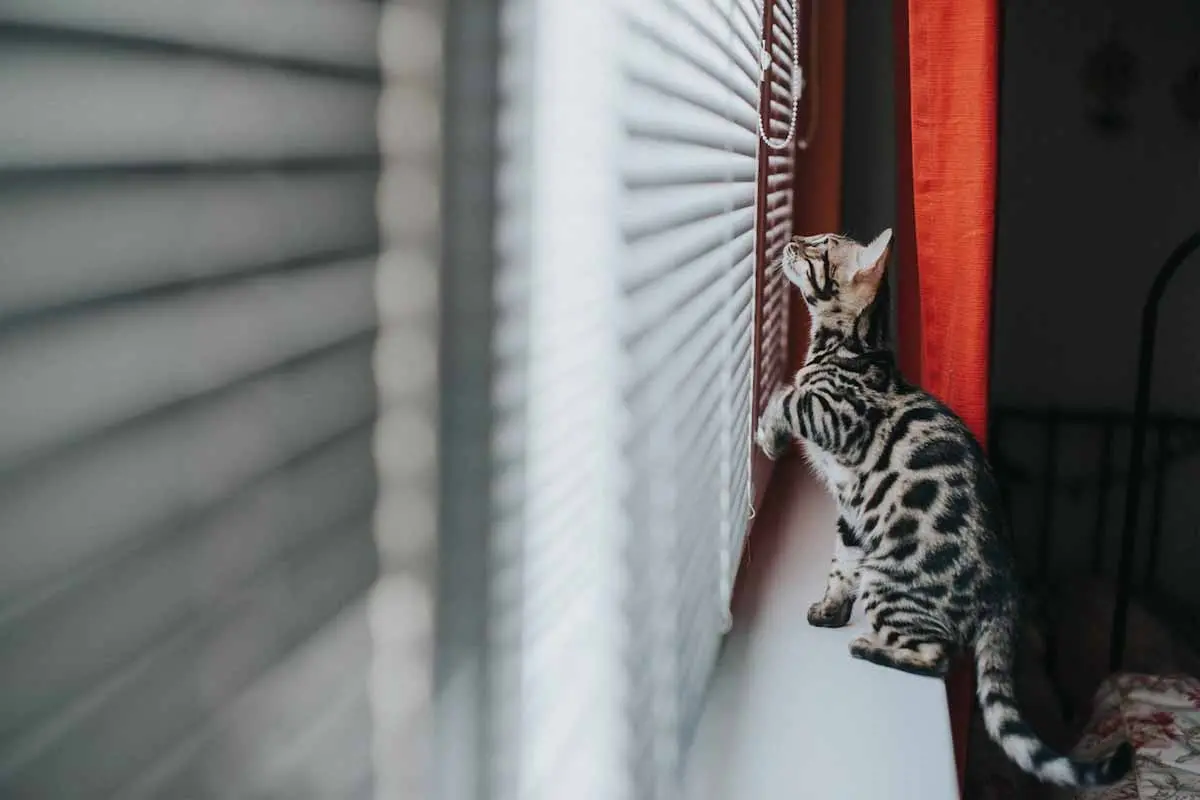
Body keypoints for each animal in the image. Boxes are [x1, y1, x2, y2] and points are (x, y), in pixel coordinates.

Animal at [753, 230, 1128, 786]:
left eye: (819, 247)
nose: (793, 241)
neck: (853, 347)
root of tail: (1006, 591)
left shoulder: (835, 416)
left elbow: (787, 395)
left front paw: (768, 433)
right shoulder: (851, 514)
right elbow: (840, 564)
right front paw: (830, 608)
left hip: (889, 584)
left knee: (936, 657)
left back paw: (870, 647)